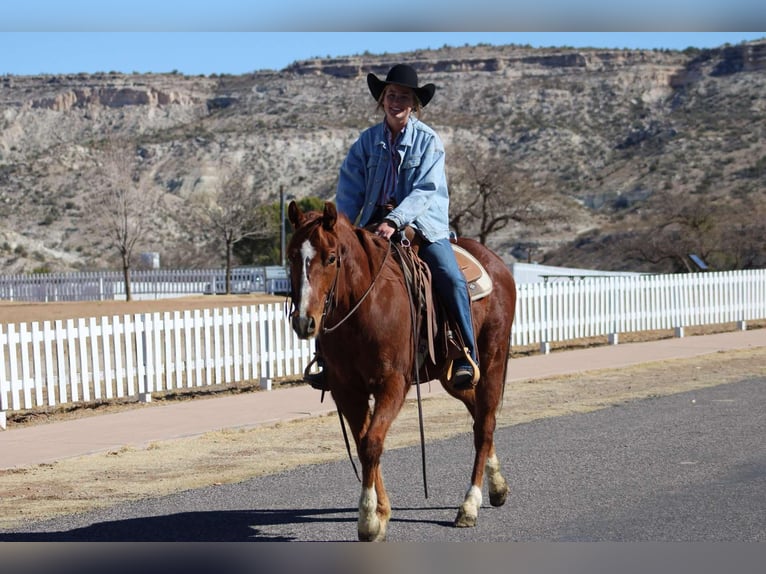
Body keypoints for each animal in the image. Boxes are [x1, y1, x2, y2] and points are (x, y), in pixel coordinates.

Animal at [286, 200, 516, 544]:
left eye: (331, 257)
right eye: (290, 256)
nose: (304, 321)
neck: (365, 309)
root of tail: (498, 264)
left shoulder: (392, 384)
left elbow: (372, 443)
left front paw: (369, 518)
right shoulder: (346, 389)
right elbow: (364, 442)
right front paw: (380, 513)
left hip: (491, 362)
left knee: (485, 424)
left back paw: (470, 504)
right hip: (453, 377)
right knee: (480, 417)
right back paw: (497, 485)